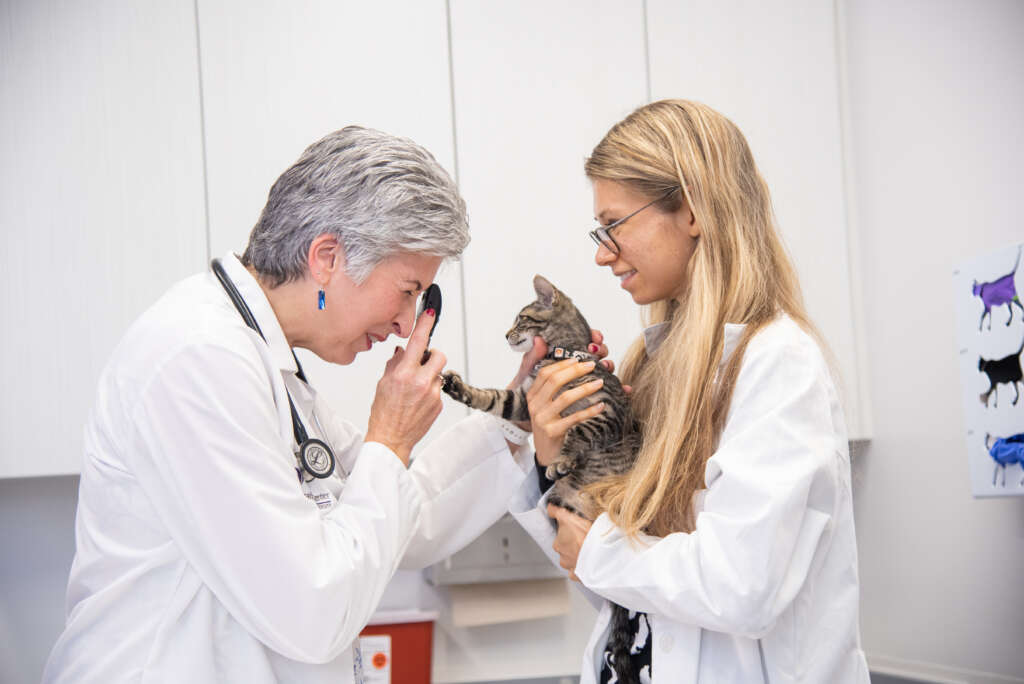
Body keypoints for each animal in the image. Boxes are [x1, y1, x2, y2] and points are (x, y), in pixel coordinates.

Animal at [440, 274, 638, 684]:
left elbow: (579, 430)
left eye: (521, 318)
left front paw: (562, 460)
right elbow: (492, 398)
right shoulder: (523, 401)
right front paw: (459, 388)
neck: (557, 358)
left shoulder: (605, 412)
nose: (505, 334)